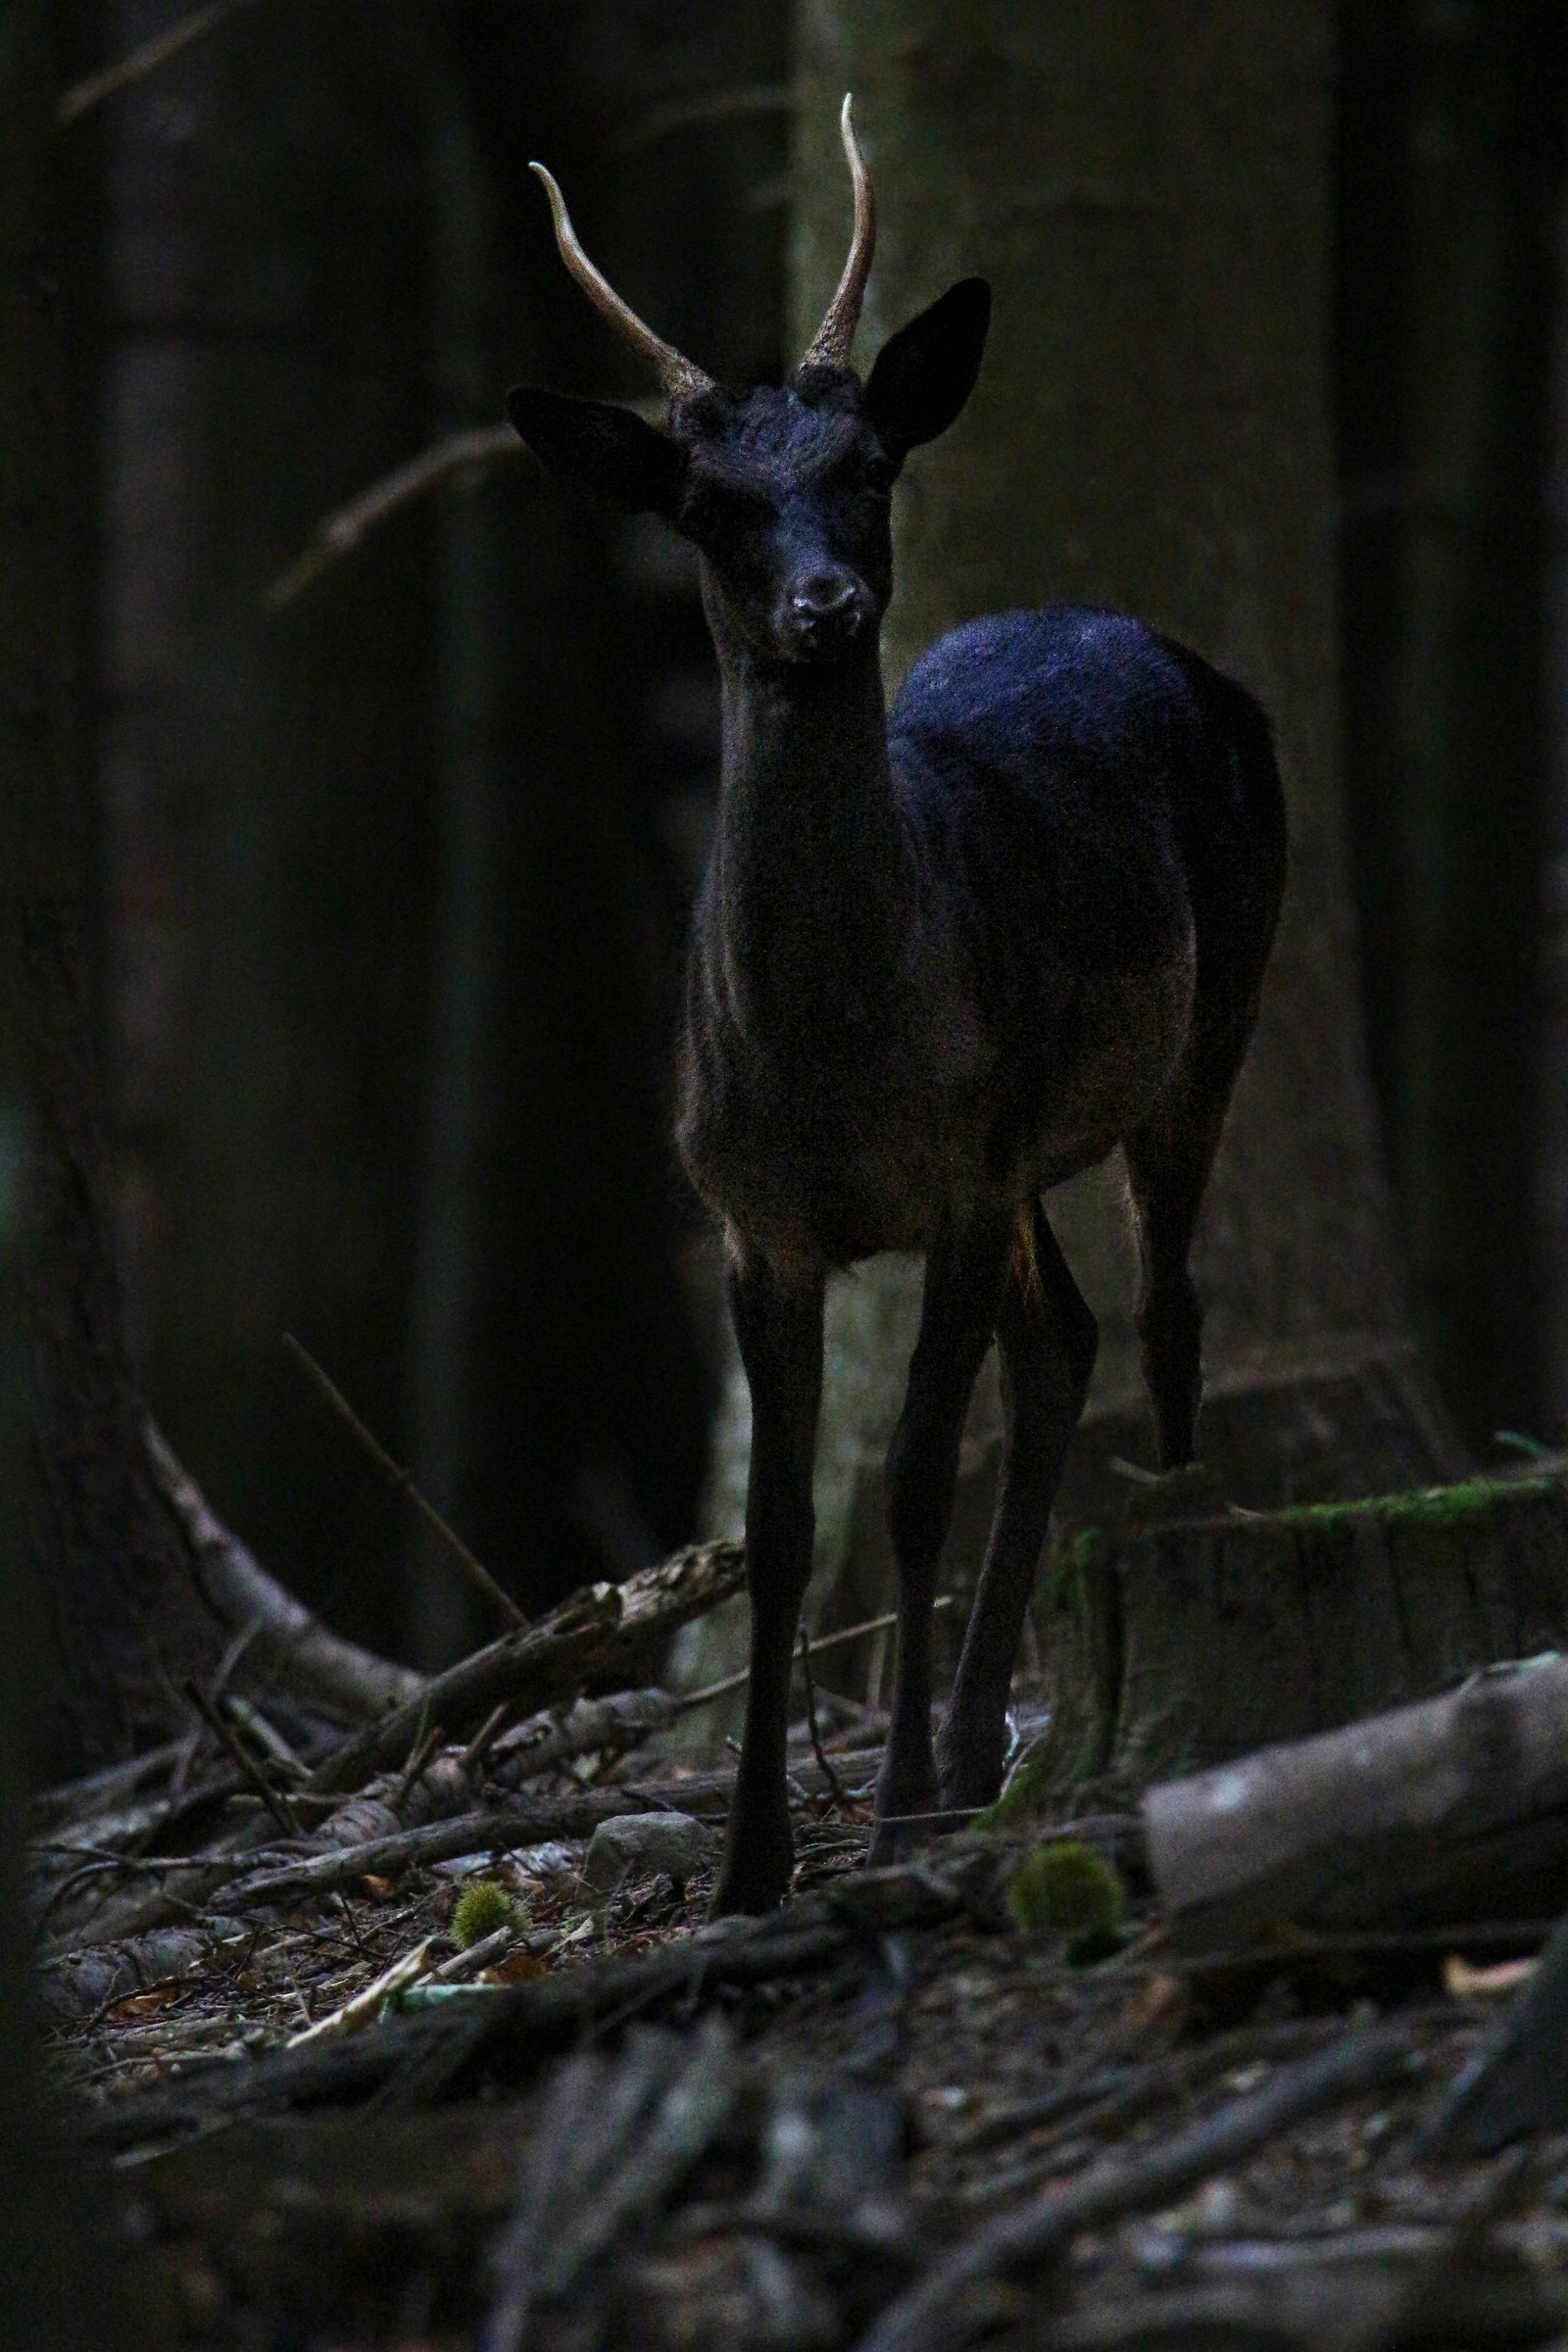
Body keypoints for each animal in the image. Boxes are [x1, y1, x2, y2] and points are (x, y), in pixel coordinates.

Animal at [508, 99, 1287, 1916]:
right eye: (708, 501)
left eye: (868, 468)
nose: (827, 606)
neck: (831, 1067)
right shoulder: (750, 1219)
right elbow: (784, 1528)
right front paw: (751, 1861)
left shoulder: (959, 1177)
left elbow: (920, 1483)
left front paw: (894, 1813)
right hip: (1027, 1146)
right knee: (1065, 1344)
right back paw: (981, 1737)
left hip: (1195, 1035)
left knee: (1163, 1318)